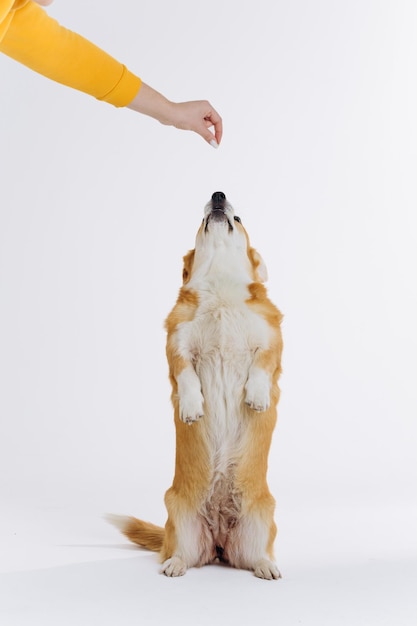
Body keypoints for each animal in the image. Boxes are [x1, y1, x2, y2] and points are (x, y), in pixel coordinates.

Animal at [109, 193, 282, 576]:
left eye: (239, 217)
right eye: (200, 219)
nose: (218, 195)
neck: (220, 286)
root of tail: (218, 540)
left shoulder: (271, 342)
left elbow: (262, 367)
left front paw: (257, 396)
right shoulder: (178, 347)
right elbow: (186, 376)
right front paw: (191, 407)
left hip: (261, 521)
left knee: (254, 555)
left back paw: (265, 565)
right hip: (181, 520)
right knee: (184, 554)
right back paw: (174, 564)